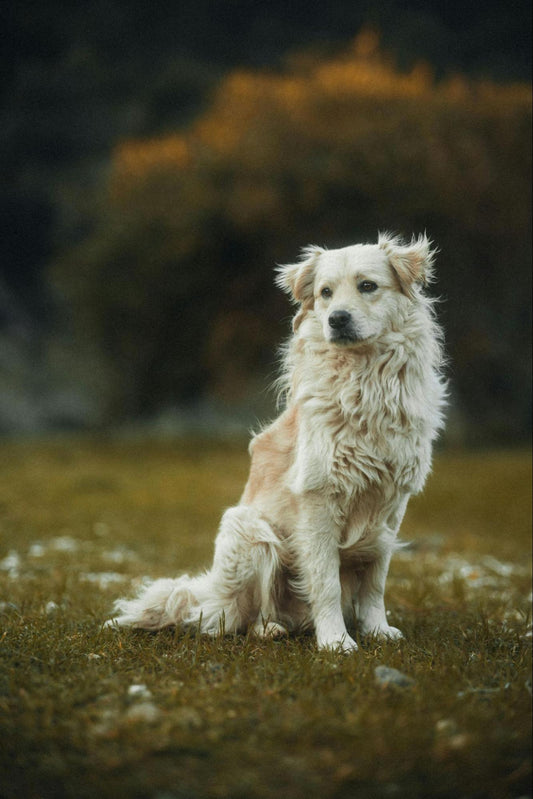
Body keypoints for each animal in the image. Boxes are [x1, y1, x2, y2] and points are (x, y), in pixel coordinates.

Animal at [108, 231, 444, 648]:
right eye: (325, 293)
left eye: (367, 286)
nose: (337, 319)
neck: (363, 380)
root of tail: (211, 595)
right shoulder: (318, 500)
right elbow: (326, 583)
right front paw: (337, 642)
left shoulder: (391, 505)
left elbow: (375, 581)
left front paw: (377, 630)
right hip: (250, 531)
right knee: (238, 618)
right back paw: (268, 628)